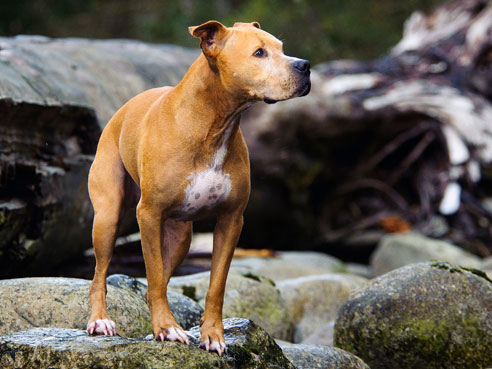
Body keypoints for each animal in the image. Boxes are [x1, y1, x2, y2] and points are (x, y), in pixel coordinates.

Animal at [86, 20, 310, 354]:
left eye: (281, 48)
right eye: (259, 53)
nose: (305, 65)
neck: (213, 125)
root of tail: (120, 111)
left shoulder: (231, 220)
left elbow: (216, 284)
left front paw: (212, 335)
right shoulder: (148, 214)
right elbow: (153, 275)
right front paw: (166, 329)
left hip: (181, 238)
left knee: (158, 280)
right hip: (108, 217)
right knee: (101, 273)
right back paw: (100, 320)